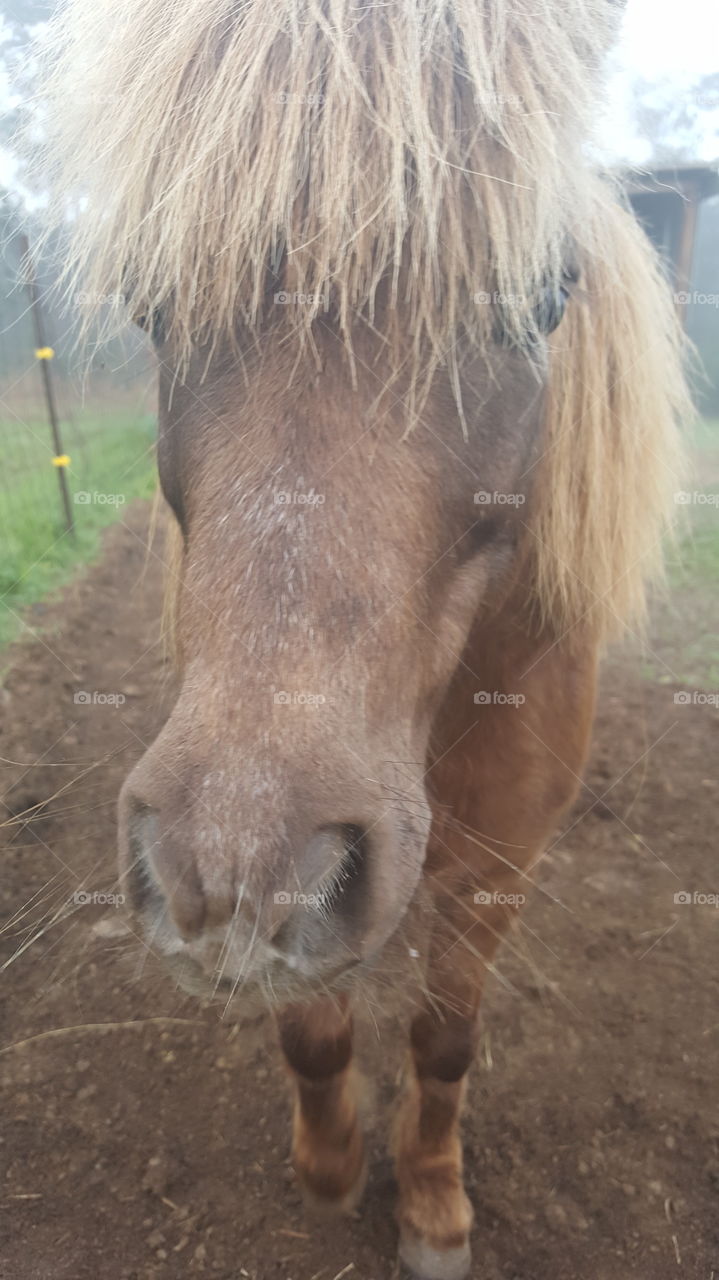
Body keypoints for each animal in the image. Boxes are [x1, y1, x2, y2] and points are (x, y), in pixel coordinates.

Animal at [34, 1, 688, 1275]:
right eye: (150, 302)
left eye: (538, 299)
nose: (225, 862)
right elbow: (314, 1024)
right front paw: (332, 1166)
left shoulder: (501, 849)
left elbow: (443, 1034)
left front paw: (431, 1202)